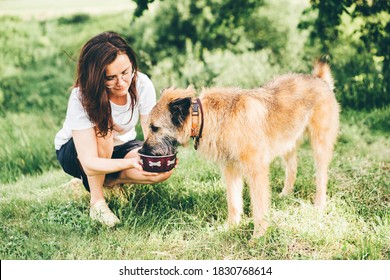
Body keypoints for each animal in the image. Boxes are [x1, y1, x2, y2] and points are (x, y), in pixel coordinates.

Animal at [139, 61, 338, 238]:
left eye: (154, 127)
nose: (144, 150)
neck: (204, 116)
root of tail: (319, 79)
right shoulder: (231, 169)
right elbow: (233, 202)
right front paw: (231, 228)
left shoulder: (256, 171)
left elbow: (259, 207)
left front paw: (258, 236)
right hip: (287, 142)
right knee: (293, 168)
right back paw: (285, 194)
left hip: (320, 144)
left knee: (321, 176)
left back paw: (319, 204)